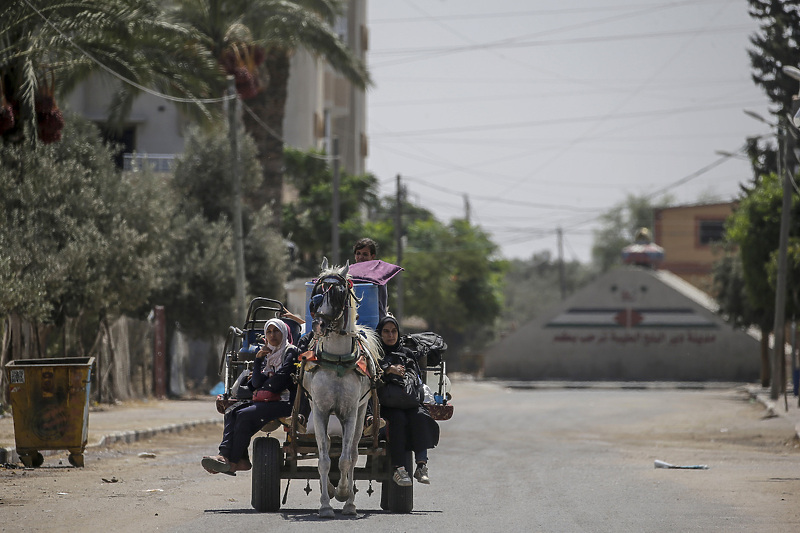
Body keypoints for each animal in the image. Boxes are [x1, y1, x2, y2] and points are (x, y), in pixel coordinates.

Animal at [304, 258, 384, 516]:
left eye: (339, 294)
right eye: (317, 294)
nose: (319, 324)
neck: (337, 360)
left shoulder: (350, 412)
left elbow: (346, 459)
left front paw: (344, 495)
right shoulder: (320, 411)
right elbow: (324, 459)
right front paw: (325, 503)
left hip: (360, 413)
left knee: (354, 452)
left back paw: (348, 500)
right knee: (330, 447)